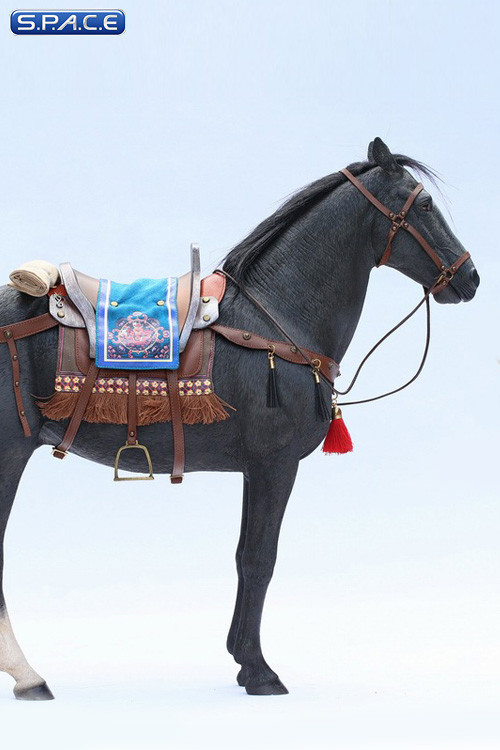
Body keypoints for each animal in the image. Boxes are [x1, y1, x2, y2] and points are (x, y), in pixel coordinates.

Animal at [0, 138, 479, 699]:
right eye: (423, 204)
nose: (470, 276)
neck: (274, 318)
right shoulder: (276, 464)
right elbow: (260, 558)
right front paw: (258, 668)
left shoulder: (255, 468)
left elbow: (242, 555)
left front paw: (238, 654)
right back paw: (28, 676)